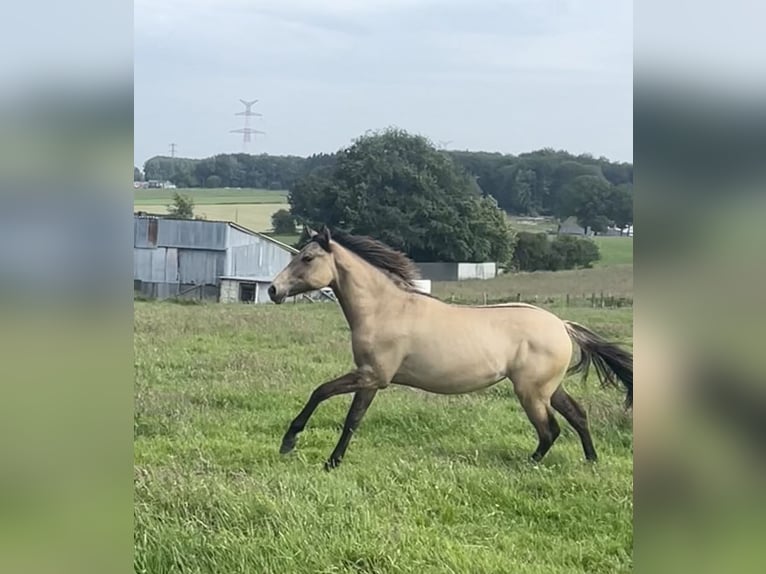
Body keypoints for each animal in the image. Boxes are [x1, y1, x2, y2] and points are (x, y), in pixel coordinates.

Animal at [268, 226, 633, 471]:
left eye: (308, 258)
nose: (273, 290)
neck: (385, 308)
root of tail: (562, 325)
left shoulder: (372, 376)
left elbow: (327, 397)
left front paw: (297, 445)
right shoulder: (370, 379)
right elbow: (349, 416)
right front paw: (327, 458)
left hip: (531, 392)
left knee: (550, 430)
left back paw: (529, 464)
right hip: (548, 388)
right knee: (577, 416)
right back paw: (591, 460)